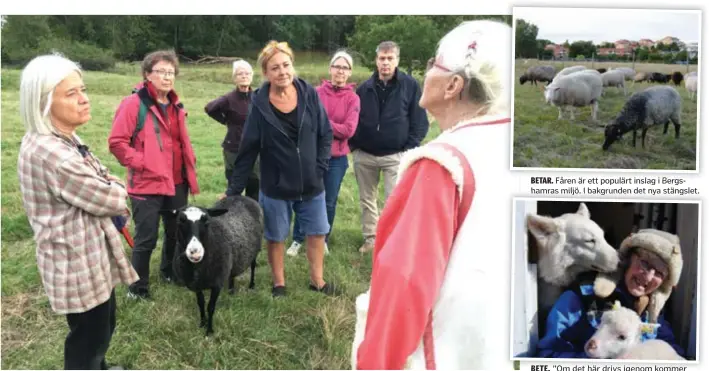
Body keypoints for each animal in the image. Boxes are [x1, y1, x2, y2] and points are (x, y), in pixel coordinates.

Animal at [167, 195, 264, 338]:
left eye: (206, 221)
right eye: (180, 221)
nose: (195, 252)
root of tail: (243, 196)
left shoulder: (216, 284)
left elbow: (210, 307)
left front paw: (209, 331)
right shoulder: (196, 285)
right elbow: (200, 303)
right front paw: (202, 323)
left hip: (255, 250)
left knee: (253, 266)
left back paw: (251, 285)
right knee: (232, 273)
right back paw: (231, 290)